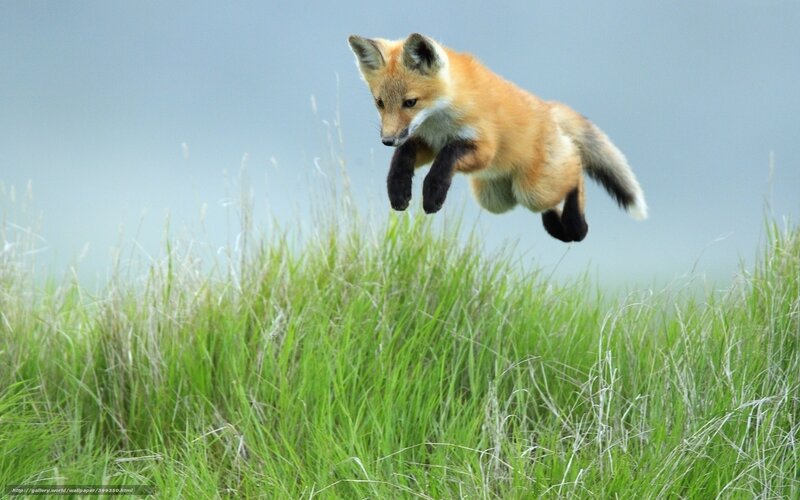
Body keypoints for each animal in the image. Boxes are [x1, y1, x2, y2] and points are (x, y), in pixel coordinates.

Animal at [348, 33, 647, 242]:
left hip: (533, 189)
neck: (440, 121)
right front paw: (398, 188)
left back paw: (577, 225)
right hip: (496, 199)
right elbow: (403, 156)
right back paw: (559, 227)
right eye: (380, 103)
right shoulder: (425, 141)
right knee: (552, 198)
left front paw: (433, 191)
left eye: (410, 102)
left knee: (576, 169)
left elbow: (448, 155)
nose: (387, 140)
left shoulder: (483, 148)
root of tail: (549, 108)